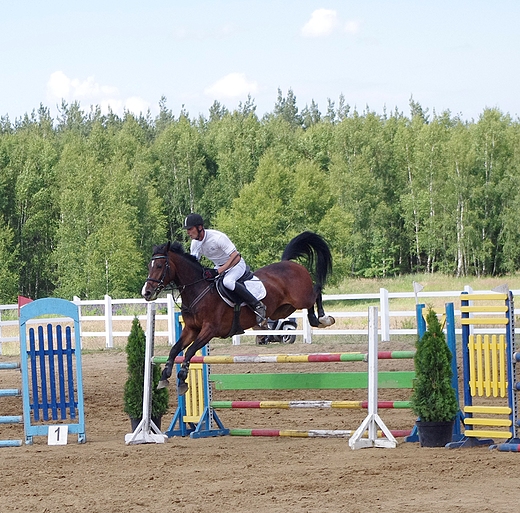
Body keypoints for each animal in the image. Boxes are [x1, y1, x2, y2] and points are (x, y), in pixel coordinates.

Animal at [140, 230, 336, 394]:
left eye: (159, 265)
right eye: (150, 266)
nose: (146, 293)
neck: (198, 290)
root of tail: (288, 263)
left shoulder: (209, 330)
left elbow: (189, 352)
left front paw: (182, 379)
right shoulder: (191, 329)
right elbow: (175, 349)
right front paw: (164, 376)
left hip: (301, 298)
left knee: (317, 291)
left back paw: (322, 319)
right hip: (282, 310)